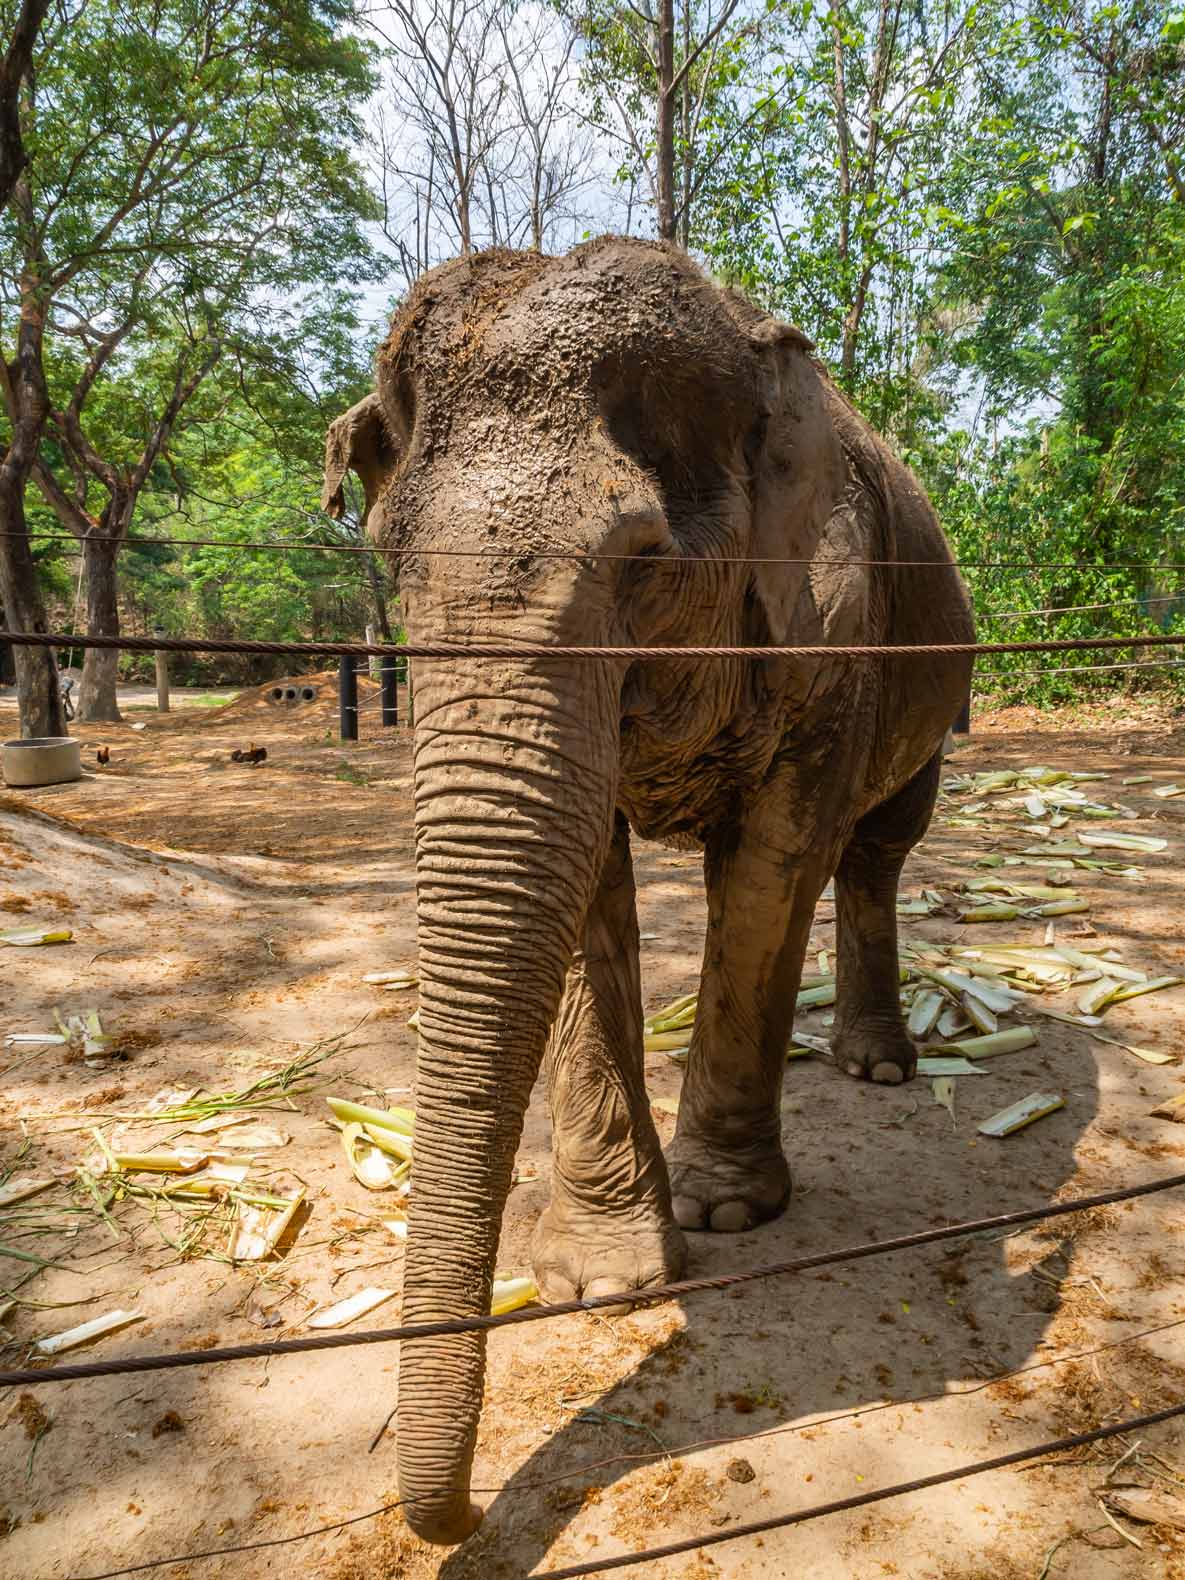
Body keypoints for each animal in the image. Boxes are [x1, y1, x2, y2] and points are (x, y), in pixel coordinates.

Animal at [325, 233, 973, 1542]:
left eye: (643, 562)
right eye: (392, 562)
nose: (459, 1515)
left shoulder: (836, 631)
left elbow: (773, 863)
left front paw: (728, 1214)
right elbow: (591, 876)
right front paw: (603, 1277)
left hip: (937, 673)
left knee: (875, 849)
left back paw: (878, 1068)